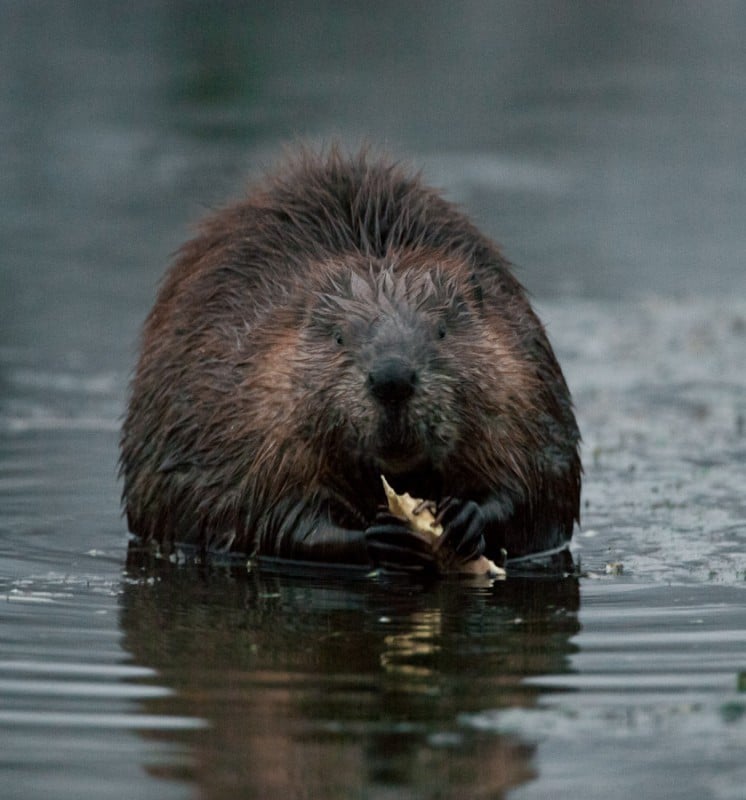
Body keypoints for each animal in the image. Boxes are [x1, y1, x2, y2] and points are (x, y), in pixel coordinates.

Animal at [119, 147, 580, 572]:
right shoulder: (242, 410)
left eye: (442, 331)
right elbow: (264, 513)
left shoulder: (525, 384)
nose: (392, 379)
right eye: (339, 336)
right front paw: (381, 536)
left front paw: (465, 515)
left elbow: (538, 483)